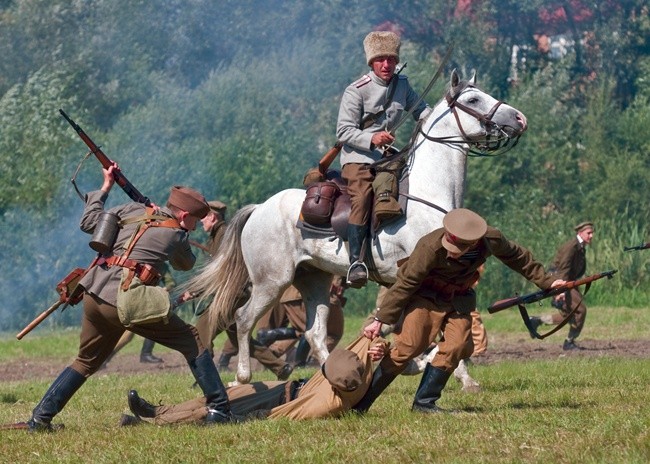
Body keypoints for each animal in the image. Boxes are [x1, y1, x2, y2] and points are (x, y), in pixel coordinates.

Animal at [189, 70, 528, 384]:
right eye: (473, 99)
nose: (520, 118)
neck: (429, 194)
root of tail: (259, 209)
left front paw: (448, 371)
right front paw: (434, 368)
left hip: (315, 280)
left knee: (314, 333)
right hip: (271, 282)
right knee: (244, 319)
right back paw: (243, 377)